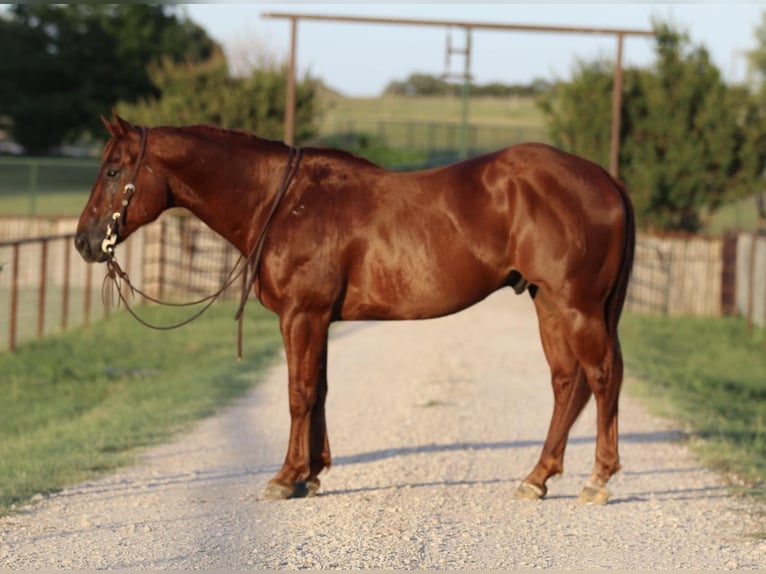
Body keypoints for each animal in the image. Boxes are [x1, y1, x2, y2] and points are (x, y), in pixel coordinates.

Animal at [76, 112, 636, 504]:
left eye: (114, 169)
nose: (84, 241)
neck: (283, 202)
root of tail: (605, 179)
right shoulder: (318, 318)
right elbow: (319, 389)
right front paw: (311, 474)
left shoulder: (302, 314)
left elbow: (299, 393)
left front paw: (286, 477)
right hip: (549, 303)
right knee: (567, 382)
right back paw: (537, 477)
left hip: (577, 306)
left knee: (602, 376)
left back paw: (597, 479)